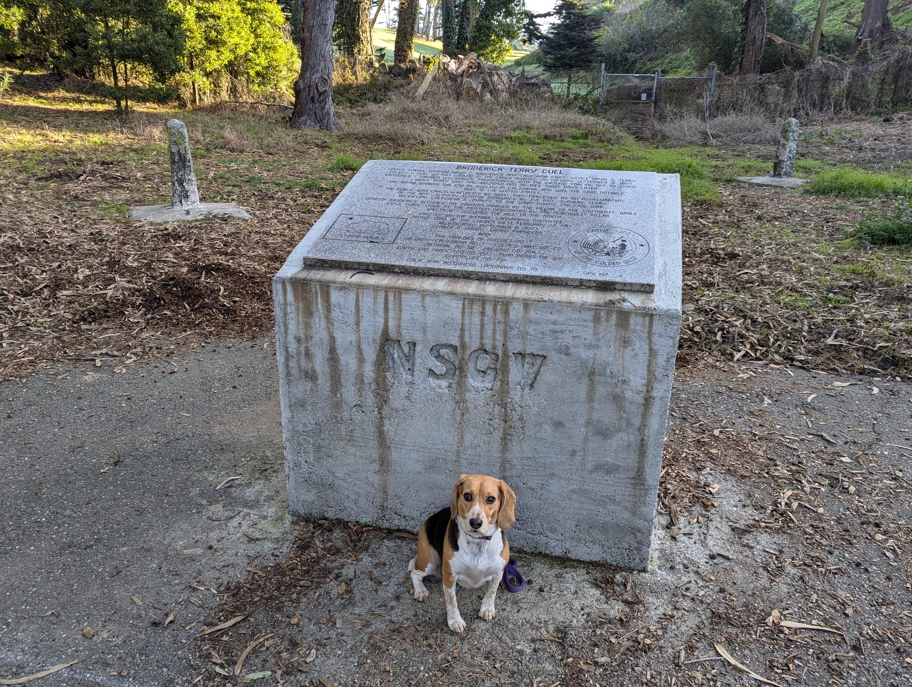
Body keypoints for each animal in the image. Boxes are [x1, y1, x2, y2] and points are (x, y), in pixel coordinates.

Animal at [410, 476, 516, 632]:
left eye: (491, 499)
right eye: (467, 496)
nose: (475, 522)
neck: (478, 541)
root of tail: (430, 519)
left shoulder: (498, 572)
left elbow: (491, 592)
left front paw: (487, 609)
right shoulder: (449, 577)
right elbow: (451, 601)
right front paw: (454, 620)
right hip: (430, 561)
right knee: (414, 573)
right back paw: (420, 591)